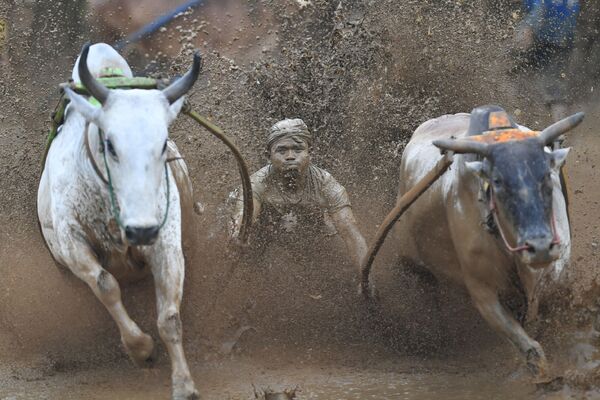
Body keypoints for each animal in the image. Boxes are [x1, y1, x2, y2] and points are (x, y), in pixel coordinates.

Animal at [37, 42, 202, 398]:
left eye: (163, 142)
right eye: (110, 144)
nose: (141, 230)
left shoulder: (167, 244)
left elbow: (169, 318)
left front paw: (184, 384)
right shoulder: (72, 244)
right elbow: (106, 285)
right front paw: (141, 349)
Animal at [392, 105, 584, 376]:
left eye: (547, 175)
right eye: (498, 181)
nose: (539, 247)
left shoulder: (557, 269)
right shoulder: (482, 291)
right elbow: (530, 347)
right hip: (414, 265)